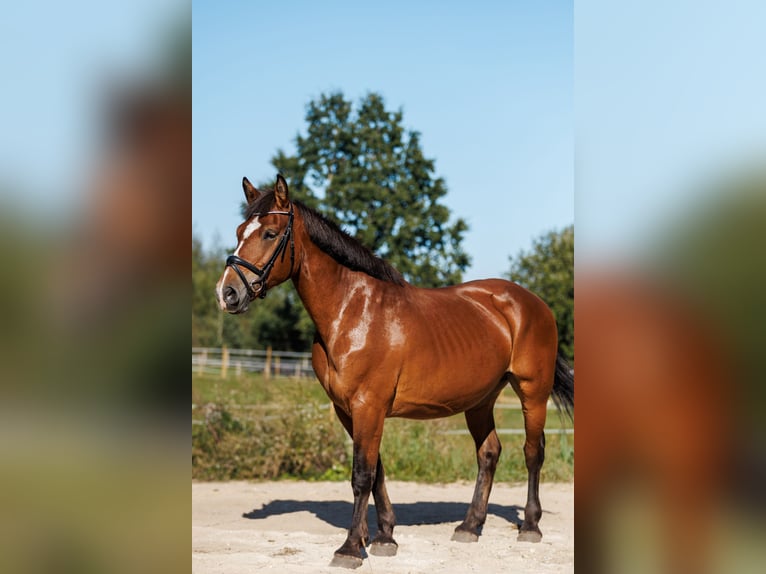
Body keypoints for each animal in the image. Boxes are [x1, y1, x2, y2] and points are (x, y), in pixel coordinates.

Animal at [216, 177, 576, 572]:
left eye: (269, 233)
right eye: (239, 231)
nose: (227, 293)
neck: (352, 310)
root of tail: (532, 303)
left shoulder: (369, 406)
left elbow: (362, 475)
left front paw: (349, 549)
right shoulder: (349, 410)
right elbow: (377, 471)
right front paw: (382, 537)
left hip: (532, 392)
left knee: (532, 452)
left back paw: (530, 526)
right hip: (480, 400)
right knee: (489, 453)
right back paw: (469, 526)